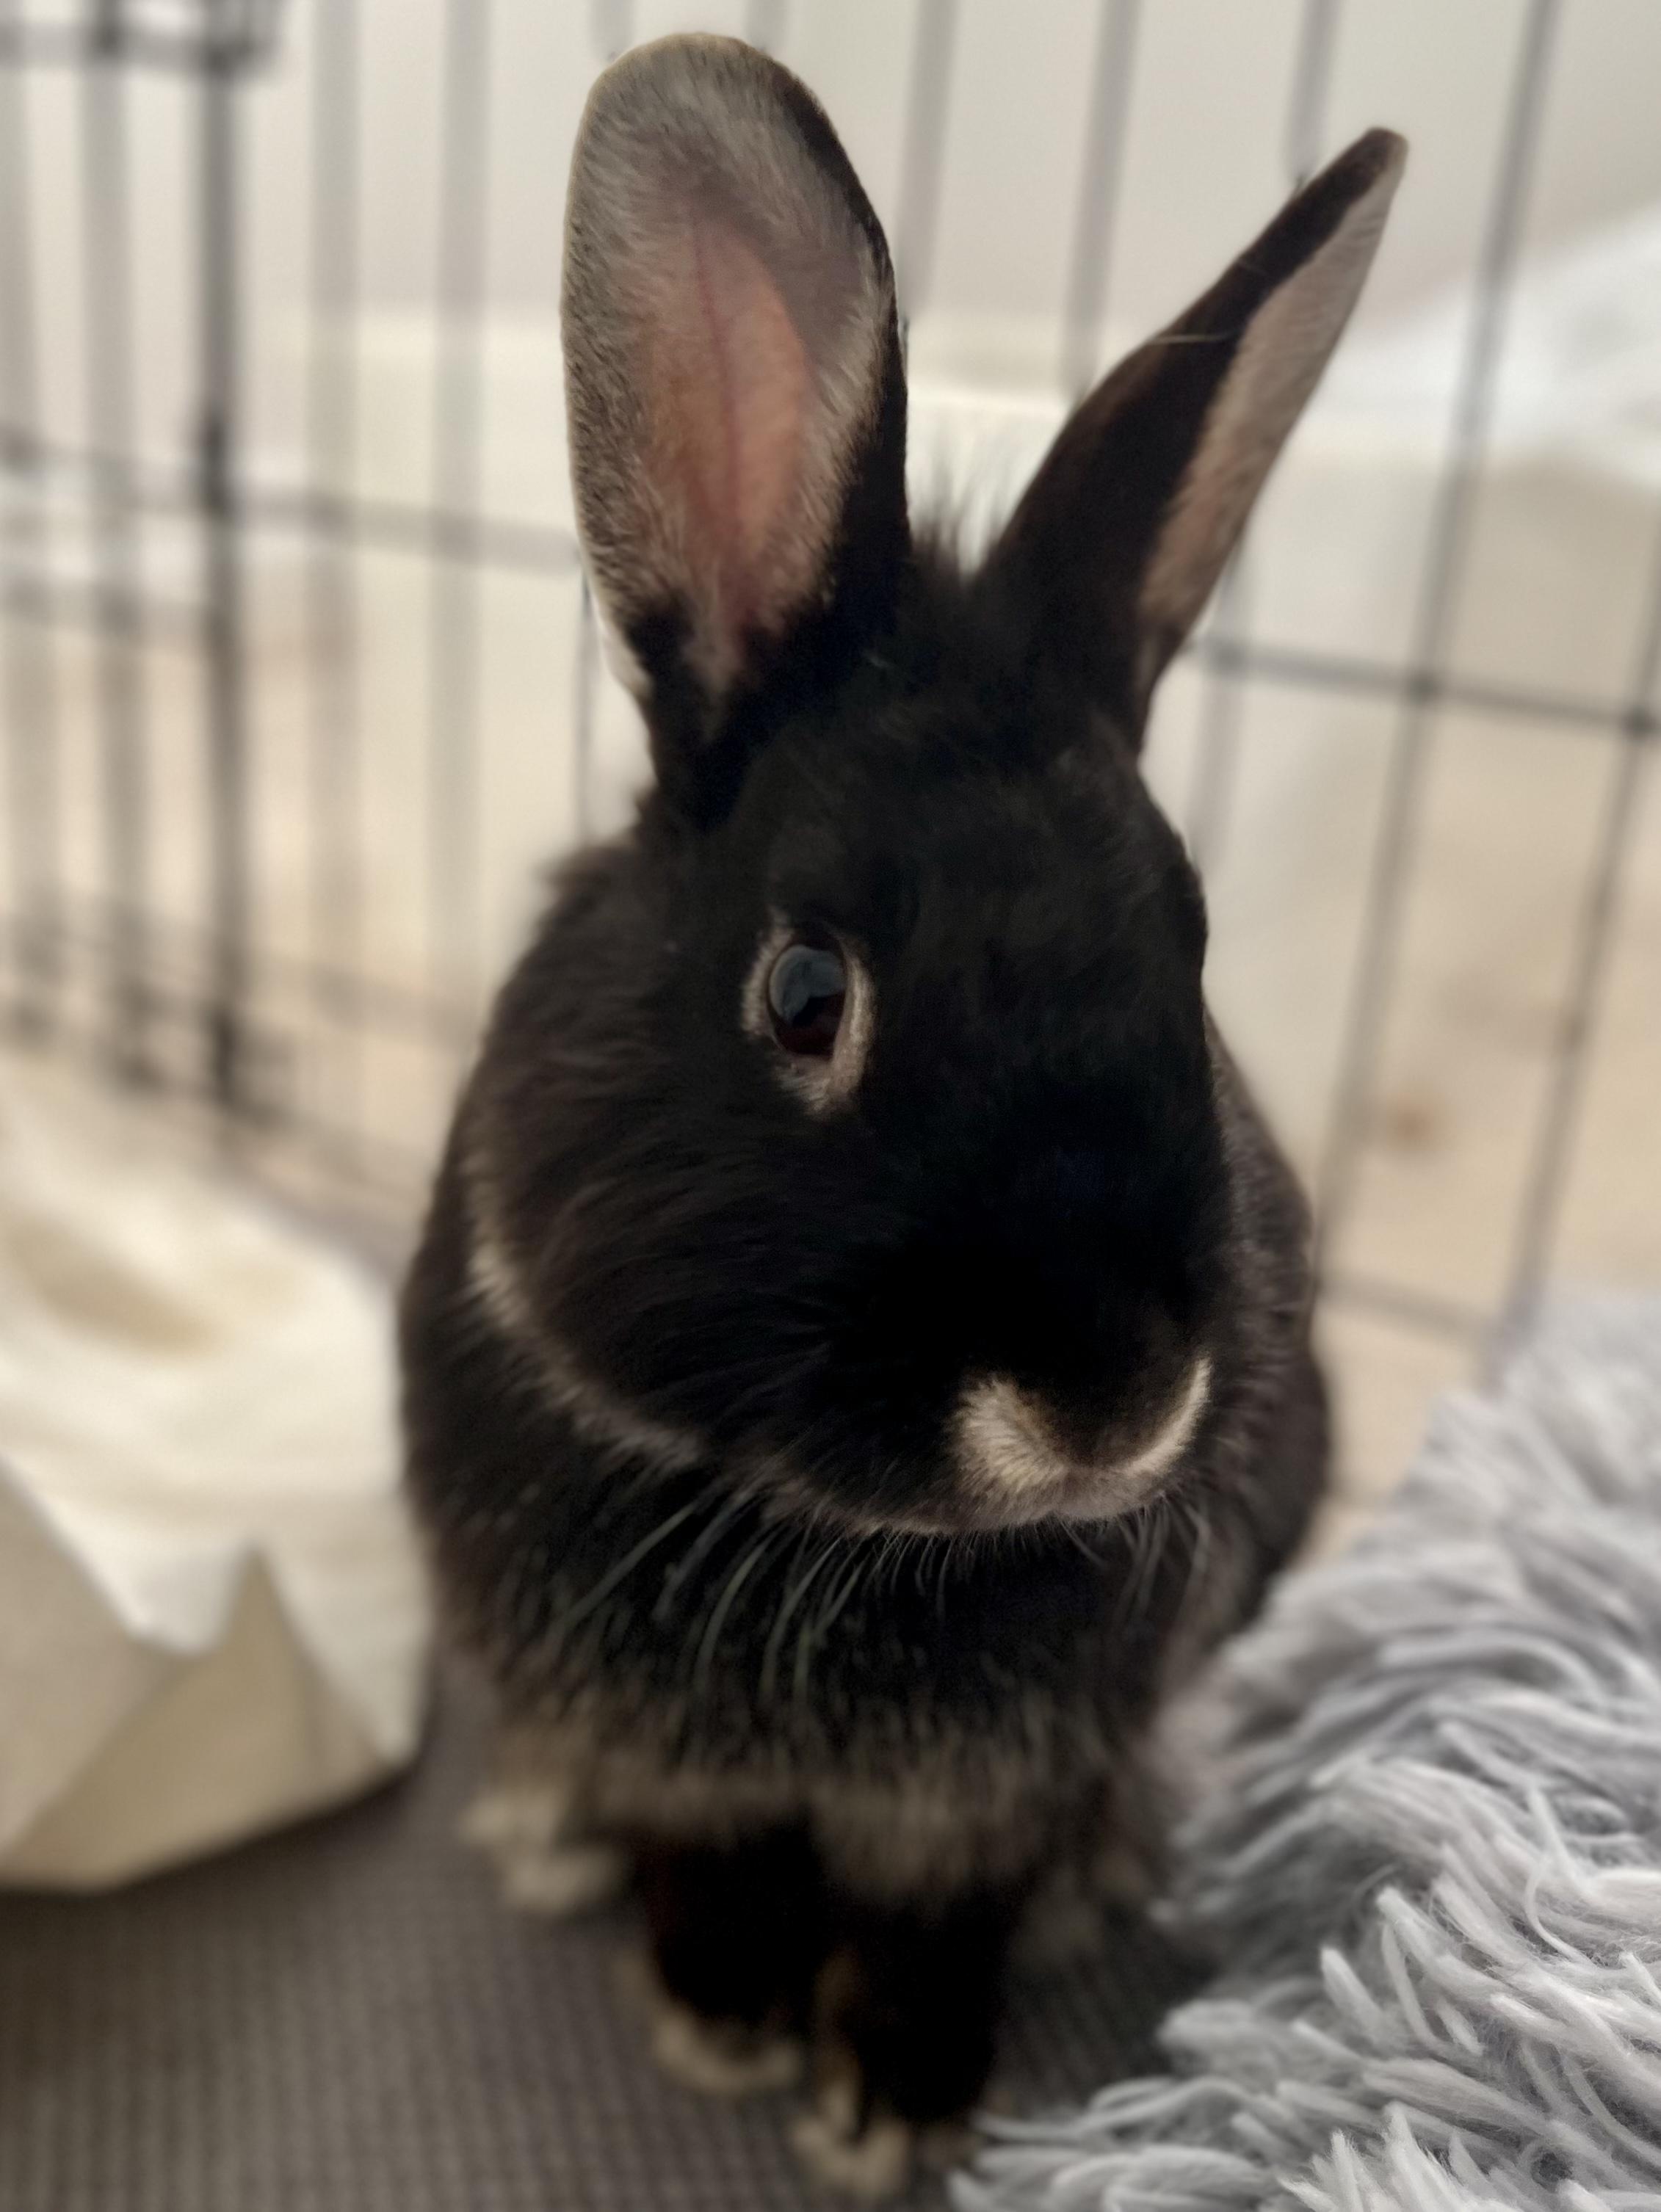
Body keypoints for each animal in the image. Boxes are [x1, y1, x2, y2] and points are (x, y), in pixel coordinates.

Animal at [400, 32, 1404, 2199]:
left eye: (1190, 947)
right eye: (804, 992)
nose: (1108, 1400)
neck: (838, 1540)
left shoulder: (984, 1797)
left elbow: (946, 1919)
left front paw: (895, 2098)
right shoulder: (675, 1764)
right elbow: (700, 1869)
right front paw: (714, 2016)